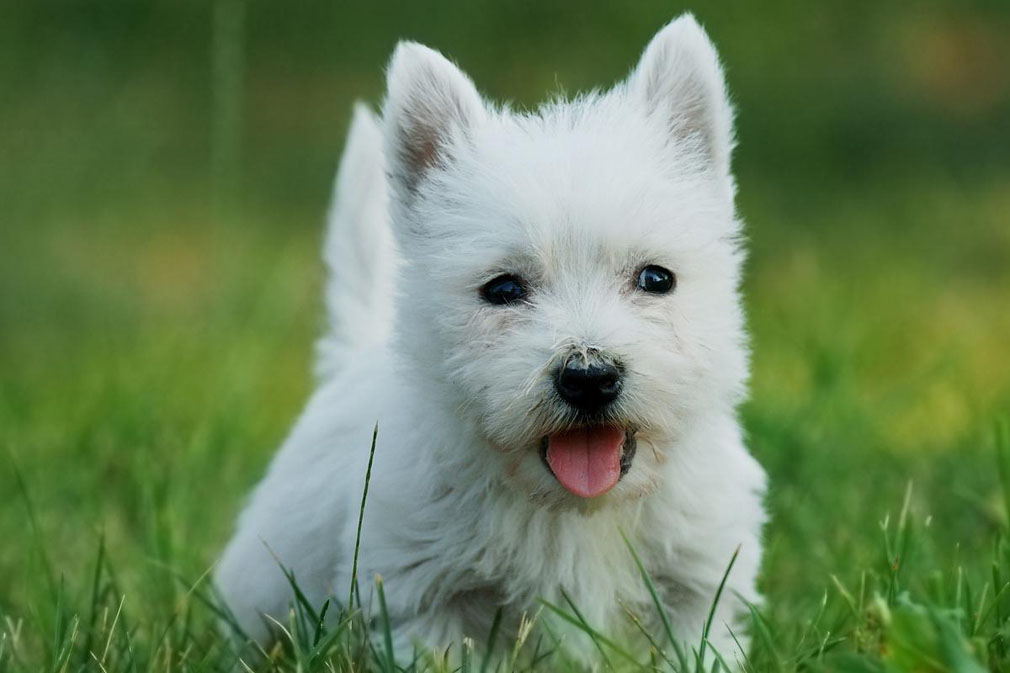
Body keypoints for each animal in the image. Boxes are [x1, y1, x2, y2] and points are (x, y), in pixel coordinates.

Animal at [215, 13, 763, 662]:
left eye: (656, 279)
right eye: (502, 289)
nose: (588, 376)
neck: (573, 511)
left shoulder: (701, 589)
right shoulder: (422, 595)